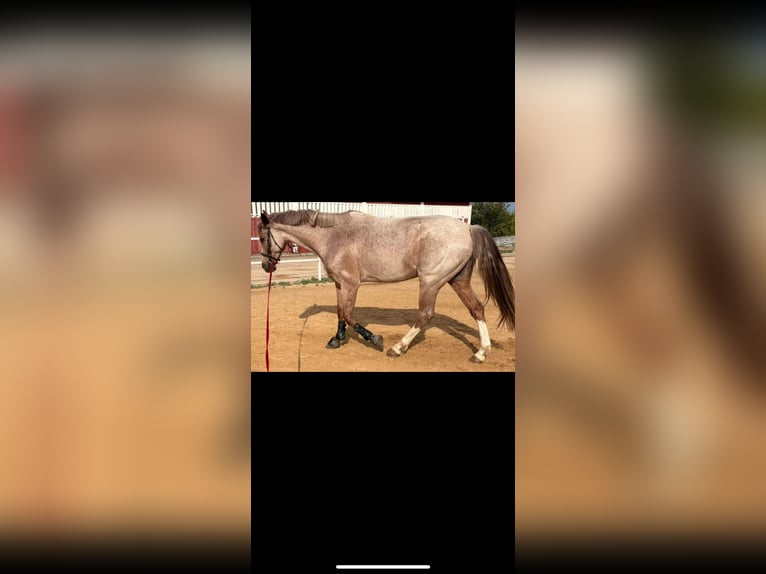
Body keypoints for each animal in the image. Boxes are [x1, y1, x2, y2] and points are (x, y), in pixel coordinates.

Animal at [257, 209, 515, 363]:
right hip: (458, 280)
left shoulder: (351, 285)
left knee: (425, 314)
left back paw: (398, 348)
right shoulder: (340, 285)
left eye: (262, 237)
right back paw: (481, 353)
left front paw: (374, 339)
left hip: (431, 281)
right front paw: (336, 339)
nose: (265, 266)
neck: (334, 237)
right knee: (477, 308)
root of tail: (468, 228)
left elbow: (349, 315)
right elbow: (340, 313)